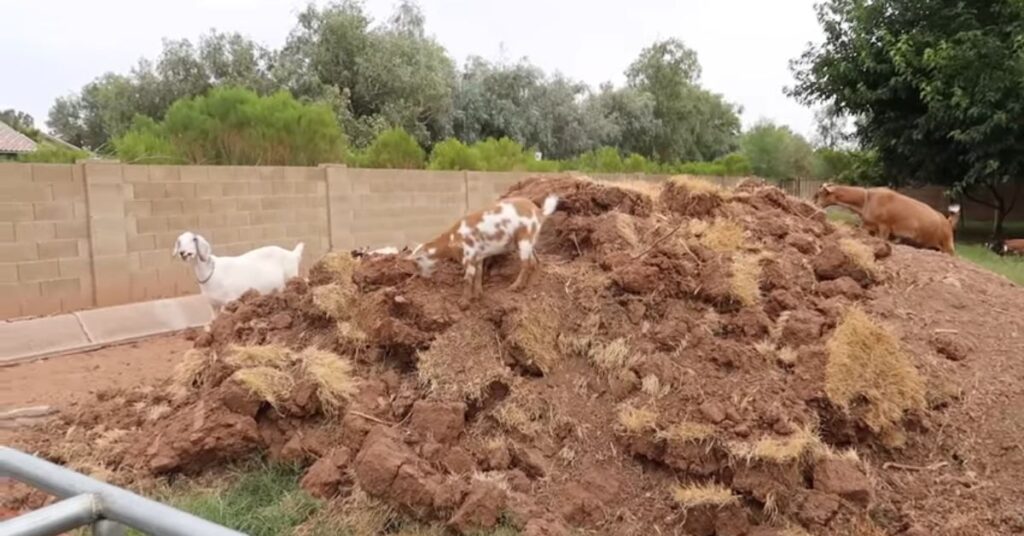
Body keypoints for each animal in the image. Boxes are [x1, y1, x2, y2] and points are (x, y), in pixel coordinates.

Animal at [173, 231, 303, 317]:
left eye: (194, 239)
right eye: (179, 242)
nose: (182, 252)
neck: (211, 272)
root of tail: (293, 254)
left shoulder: (229, 301)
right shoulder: (213, 305)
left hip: (290, 278)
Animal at [405, 194, 561, 301]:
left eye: (416, 262)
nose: (423, 278)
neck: (453, 239)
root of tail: (539, 211)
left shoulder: (468, 256)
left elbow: (468, 278)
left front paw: (464, 303)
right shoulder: (478, 257)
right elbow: (478, 274)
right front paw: (478, 295)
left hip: (524, 239)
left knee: (526, 264)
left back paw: (514, 287)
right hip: (528, 242)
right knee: (536, 261)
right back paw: (531, 285)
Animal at [815, 184, 958, 256]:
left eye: (821, 193)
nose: (816, 204)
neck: (866, 199)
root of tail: (947, 221)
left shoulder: (884, 227)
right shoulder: (868, 226)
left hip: (947, 245)